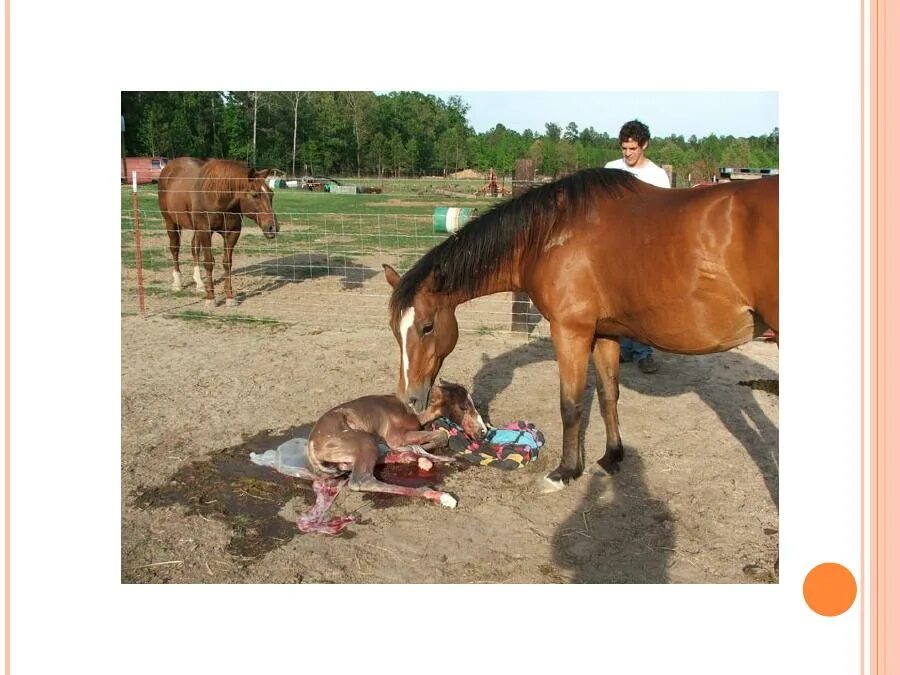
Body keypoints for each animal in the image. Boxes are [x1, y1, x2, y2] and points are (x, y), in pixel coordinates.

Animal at [158, 158, 278, 306]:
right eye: (255, 195)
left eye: (271, 194)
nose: (273, 227)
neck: (217, 196)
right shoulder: (205, 231)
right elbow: (209, 262)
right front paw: (210, 298)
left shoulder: (232, 233)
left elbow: (227, 263)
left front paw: (230, 297)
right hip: (171, 222)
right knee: (175, 249)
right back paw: (177, 283)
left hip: (196, 229)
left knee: (194, 249)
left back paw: (200, 284)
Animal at [306, 382, 486, 510]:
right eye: (463, 407)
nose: (483, 432)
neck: (413, 414)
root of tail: (312, 446)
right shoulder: (396, 437)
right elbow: (442, 435)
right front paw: (425, 451)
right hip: (365, 441)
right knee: (362, 480)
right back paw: (440, 495)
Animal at [384, 169, 776, 494]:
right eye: (393, 329)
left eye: (427, 326)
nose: (409, 399)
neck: (550, 234)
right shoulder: (605, 335)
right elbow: (607, 396)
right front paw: (612, 456)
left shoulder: (570, 333)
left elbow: (570, 405)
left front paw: (565, 471)